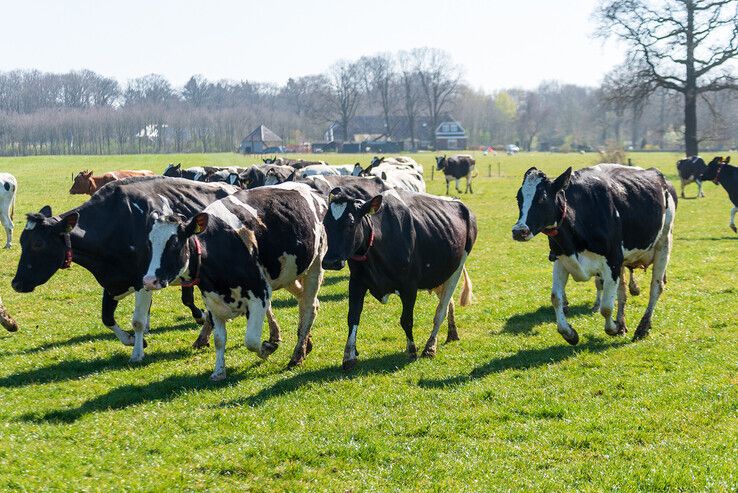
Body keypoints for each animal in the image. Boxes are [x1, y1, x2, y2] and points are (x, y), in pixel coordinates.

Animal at [12, 175, 236, 360]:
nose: (16, 283)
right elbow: (107, 318)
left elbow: (137, 321)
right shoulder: (112, 282)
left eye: (38, 243)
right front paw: (132, 340)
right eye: (21, 241)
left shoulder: (143, 281)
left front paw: (137, 352)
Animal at [142, 184, 326, 380]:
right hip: (288, 273)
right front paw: (218, 372)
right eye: (149, 243)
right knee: (307, 301)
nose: (149, 280)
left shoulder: (260, 294)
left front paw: (268, 348)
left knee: (308, 306)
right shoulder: (212, 300)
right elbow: (219, 340)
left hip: (315, 265)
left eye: (174, 243)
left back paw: (297, 355)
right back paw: (306, 345)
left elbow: (251, 340)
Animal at [322, 188, 478, 368]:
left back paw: (430, 347)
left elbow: (406, 320)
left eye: (350, 223)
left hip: (457, 267)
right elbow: (352, 317)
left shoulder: (409, 286)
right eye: (325, 224)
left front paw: (412, 350)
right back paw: (452, 334)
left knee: (441, 310)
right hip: (441, 272)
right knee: (448, 302)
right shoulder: (356, 282)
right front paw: (349, 356)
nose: (330, 262)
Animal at [508, 163, 676, 344]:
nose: (519, 231)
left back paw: (642, 328)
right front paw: (569, 333)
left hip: (664, 243)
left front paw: (613, 328)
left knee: (656, 287)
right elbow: (556, 298)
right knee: (622, 291)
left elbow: (606, 307)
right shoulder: (562, 259)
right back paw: (623, 323)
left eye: (542, 199)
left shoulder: (613, 261)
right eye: (518, 198)